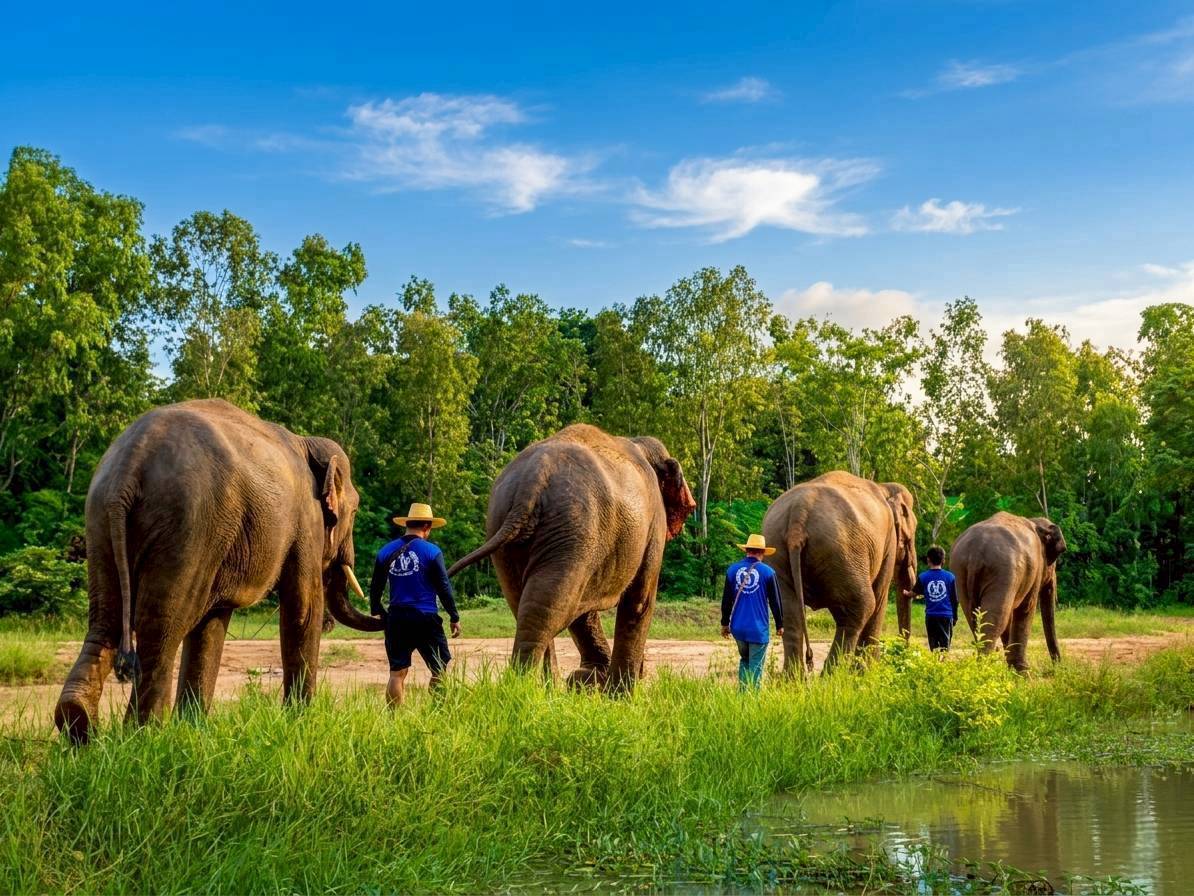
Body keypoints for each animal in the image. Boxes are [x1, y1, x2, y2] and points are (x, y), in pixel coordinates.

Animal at [54, 399, 382, 743]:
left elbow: (212, 624)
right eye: (355, 510)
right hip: (188, 524)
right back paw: (145, 735)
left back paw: (79, 723)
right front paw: (301, 721)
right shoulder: (307, 521)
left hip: (102, 519)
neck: (307, 442)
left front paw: (194, 729)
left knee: (106, 620)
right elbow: (302, 609)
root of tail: (130, 465)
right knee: (160, 628)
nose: (384, 611)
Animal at [448, 424, 696, 690]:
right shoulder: (654, 525)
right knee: (552, 606)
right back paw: (525, 688)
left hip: (510, 530)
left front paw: (591, 680)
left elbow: (584, 608)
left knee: (534, 603)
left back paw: (540, 689)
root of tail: (531, 483)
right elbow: (639, 601)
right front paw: (617, 694)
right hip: (575, 528)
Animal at [762, 471, 918, 674]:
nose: (903, 656)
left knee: (789, 612)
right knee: (861, 607)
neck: (885, 487)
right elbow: (880, 598)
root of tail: (798, 516)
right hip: (842, 552)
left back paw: (794, 679)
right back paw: (832, 677)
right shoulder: (888, 543)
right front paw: (869, 674)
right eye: (911, 535)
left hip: (777, 549)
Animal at [950, 511, 1066, 671]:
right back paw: (984, 670)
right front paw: (1022, 672)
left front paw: (1012, 670)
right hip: (1002, 571)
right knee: (997, 617)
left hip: (960, 572)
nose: (1059, 667)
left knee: (974, 617)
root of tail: (975, 553)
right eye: (1054, 561)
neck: (1034, 522)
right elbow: (1026, 608)